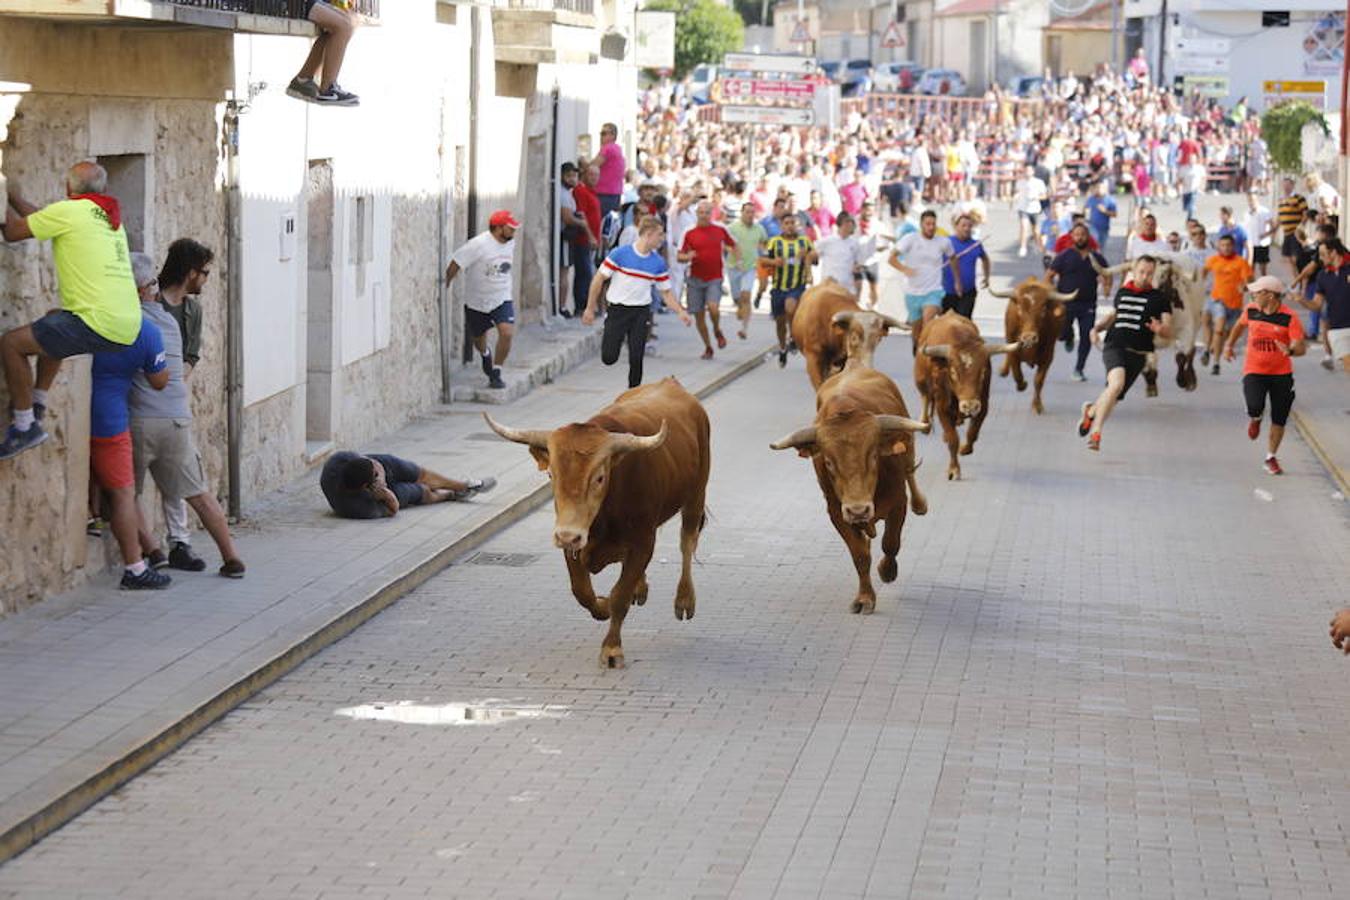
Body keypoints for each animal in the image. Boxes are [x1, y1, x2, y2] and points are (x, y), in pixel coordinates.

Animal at [483, 377, 712, 666]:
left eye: (600, 477)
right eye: (550, 474)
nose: (567, 535)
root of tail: (671, 383)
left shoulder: (642, 542)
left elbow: (620, 596)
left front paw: (612, 648)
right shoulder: (574, 542)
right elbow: (582, 591)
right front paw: (602, 606)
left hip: (696, 494)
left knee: (687, 542)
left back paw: (684, 600)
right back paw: (641, 588)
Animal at [772, 367, 928, 612]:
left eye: (873, 456)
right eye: (828, 462)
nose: (858, 510)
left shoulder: (898, 502)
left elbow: (891, 543)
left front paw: (887, 571)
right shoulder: (837, 512)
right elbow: (860, 555)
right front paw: (865, 598)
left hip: (908, 448)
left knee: (910, 471)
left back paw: (920, 504)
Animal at [912, 310, 1015, 477]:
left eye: (983, 372)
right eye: (953, 372)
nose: (970, 406)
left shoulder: (983, 404)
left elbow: (973, 431)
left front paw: (966, 449)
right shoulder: (942, 407)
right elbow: (953, 439)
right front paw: (954, 469)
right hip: (920, 380)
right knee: (925, 396)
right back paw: (925, 423)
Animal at [993, 276, 1074, 412]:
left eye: (1043, 309)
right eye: (1019, 309)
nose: (1029, 338)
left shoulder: (1047, 356)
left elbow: (1038, 380)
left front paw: (1037, 405)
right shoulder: (1014, 350)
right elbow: (1017, 373)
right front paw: (1022, 385)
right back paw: (1003, 371)